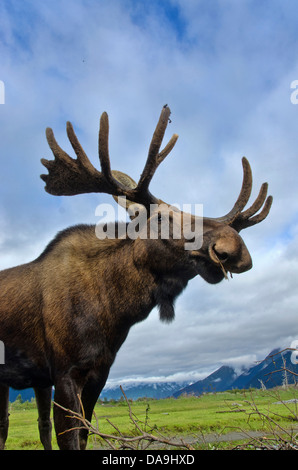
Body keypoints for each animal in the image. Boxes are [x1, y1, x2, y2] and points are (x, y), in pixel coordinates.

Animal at [0, 105, 272, 448]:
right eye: (160, 218)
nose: (234, 248)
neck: (114, 310)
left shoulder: (98, 374)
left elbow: (83, 434)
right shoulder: (64, 373)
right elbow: (71, 438)